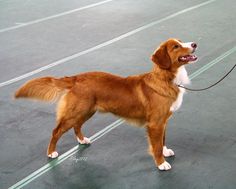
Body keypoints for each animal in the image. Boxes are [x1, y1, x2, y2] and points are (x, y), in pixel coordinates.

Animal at [14, 38, 197, 170]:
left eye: (181, 42)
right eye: (176, 46)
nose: (195, 44)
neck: (166, 78)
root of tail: (75, 78)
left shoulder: (163, 121)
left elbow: (163, 140)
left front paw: (165, 152)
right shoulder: (155, 123)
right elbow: (156, 145)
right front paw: (161, 163)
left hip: (87, 111)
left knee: (77, 126)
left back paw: (82, 140)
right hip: (76, 112)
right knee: (56, 131)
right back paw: (51, 152)